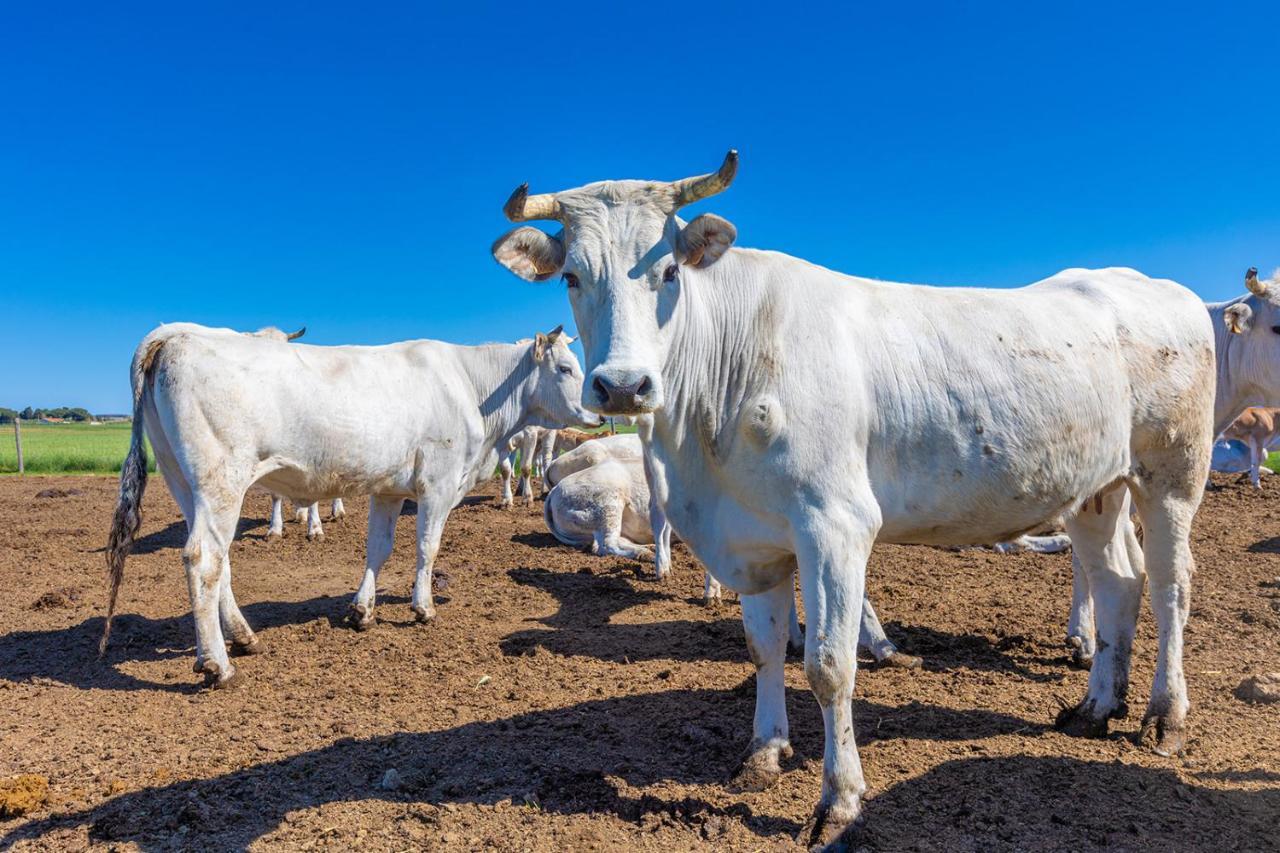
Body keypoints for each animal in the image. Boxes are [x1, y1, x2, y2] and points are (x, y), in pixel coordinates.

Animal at [101, 320, 599, 686]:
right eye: (566, 368)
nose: (597, 411)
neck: (472, 386)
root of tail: (176, 332)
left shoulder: (389, 489)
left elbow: (378, 548)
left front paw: (363, 610)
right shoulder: (438, 483)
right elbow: (427, 548)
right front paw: (423, 607)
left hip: (183, 481)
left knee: (217, 560)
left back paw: (242, 637)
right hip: (222, 479)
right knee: (203, 557)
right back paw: (217, 664)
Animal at [494, 151, 1213, 845]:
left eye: (668, 271)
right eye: (572, 277)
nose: (622, 385)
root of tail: (1157, 286)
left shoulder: (834, 525)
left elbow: (829, 664)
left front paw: (838, 802)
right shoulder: (753, 536)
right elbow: (764, 646)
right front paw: (765, 751)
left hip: (1172, 472)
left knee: (1171, 583)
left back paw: (1165, 716)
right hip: (1097, 487)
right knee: (1118, 580)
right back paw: (1098, 706)